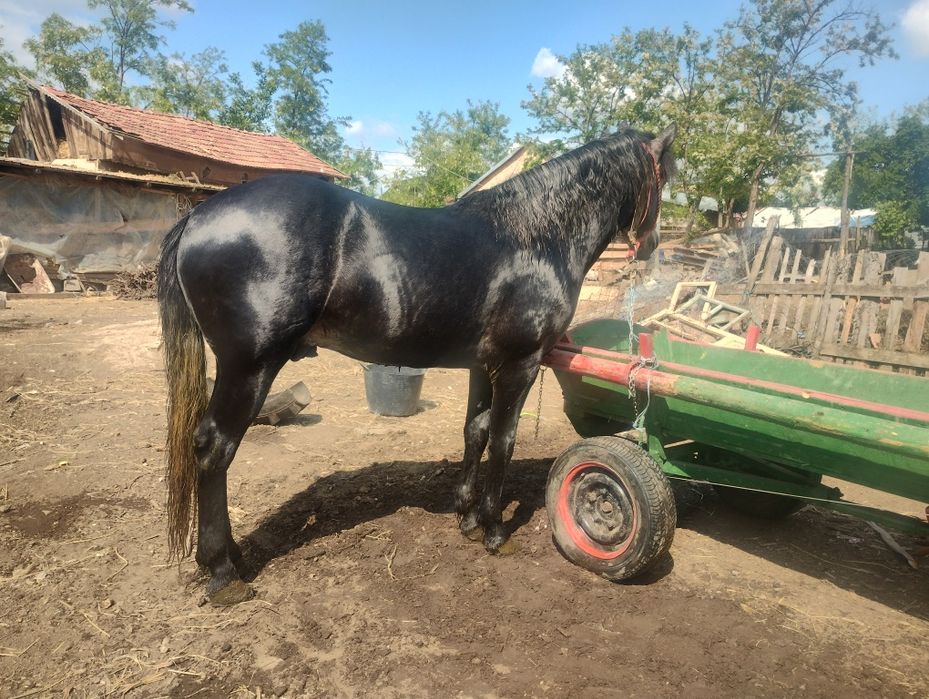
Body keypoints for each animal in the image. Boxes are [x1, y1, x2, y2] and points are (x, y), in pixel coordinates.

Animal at [157, 124, 677, 604]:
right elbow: (504, 440)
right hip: (250, 366)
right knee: (214, 448)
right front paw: (494, 529)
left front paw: (467, 516)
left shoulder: (482, 365)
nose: (653, 245)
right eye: (665, 174)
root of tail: (199, 216)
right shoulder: (520, 364)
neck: (535, 237)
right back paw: (223, 570)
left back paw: (230, 555)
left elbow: (476, 431)